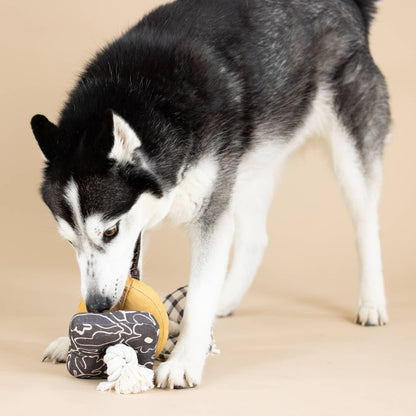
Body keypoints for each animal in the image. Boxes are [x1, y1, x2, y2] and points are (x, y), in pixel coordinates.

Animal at [32, 0, 390, 390]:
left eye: (109, 231)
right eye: (70, 242)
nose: (98, 306)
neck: (146, 96)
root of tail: (351, 7)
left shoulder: (208, 216)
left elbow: (201, 291)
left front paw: (185, 359)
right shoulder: (145, 228)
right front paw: (72, 338)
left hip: (349, 154)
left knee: (365, 225)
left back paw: (371, 302)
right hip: (252, 163)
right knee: (255, 239)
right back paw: (226, 299)